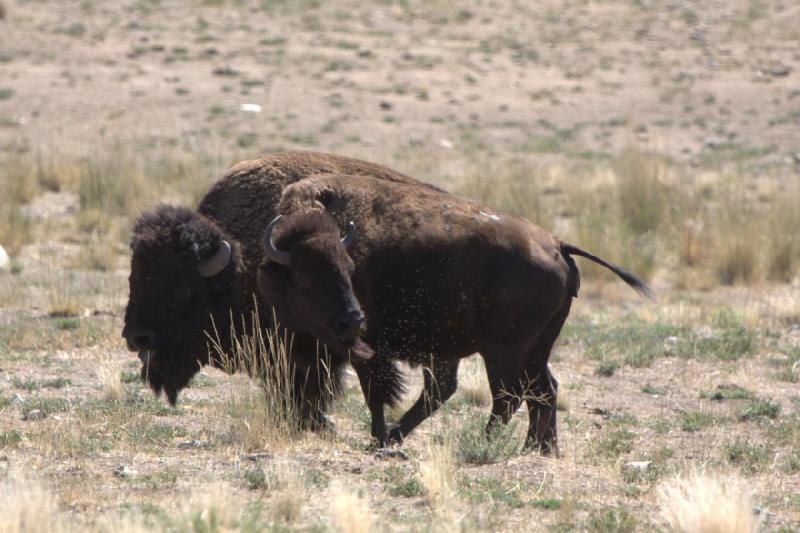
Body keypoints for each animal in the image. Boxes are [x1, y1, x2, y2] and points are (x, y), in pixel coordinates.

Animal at [256, 172, 648, 450]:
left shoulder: (369, 349)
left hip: (502, 349)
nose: (353, 319)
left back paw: (483, 443)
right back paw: (538, 450)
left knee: (508, 395)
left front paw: (377, 439)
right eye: (306, 279)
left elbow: (375, 392)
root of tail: (558, 243)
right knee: (542, 390)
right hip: (535, 347)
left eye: (349, 269)